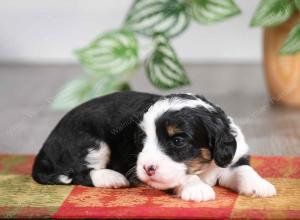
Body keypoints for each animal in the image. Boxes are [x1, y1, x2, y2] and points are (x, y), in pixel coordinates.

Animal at [31, 90, 276, 201]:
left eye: (178, 140)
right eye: (142, 141)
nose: (147, 168)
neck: (204, 167)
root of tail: (44, 148)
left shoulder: (233, 156)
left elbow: (244, 170)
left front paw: (260, 185)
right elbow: (180, 176)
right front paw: (197, 188)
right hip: (90, 142)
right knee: (77, 172)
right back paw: (111, 178)